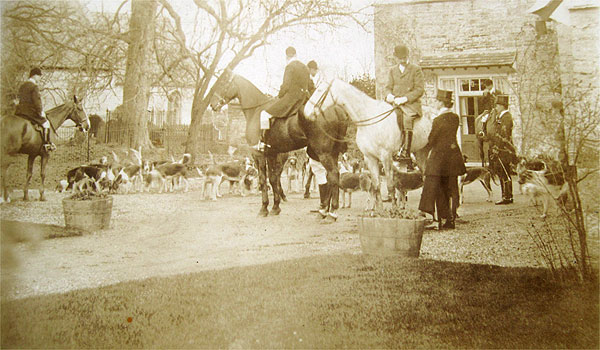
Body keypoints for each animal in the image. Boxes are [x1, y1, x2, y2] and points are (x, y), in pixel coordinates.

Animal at [210, 73, 346, 220]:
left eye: (223, 82)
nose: (212, 105)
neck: (256, 110)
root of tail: (336, 109)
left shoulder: (259, 154)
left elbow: (263, 180)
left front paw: (264, 208)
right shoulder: (272, 154)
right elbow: (273, 178)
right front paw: (275, 207)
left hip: (323, 153)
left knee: (333, 174)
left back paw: (331, 212)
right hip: (330, 152)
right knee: (328, 177)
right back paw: (325, 209)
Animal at [304, 78, 432, 211]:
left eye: (319, 90)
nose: (305, 112)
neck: (369, 118)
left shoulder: (386, 156)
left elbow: (390, 186)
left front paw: (394, 210)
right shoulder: (369, 157)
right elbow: (376, 186)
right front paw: (380, 211)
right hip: (421, 152)